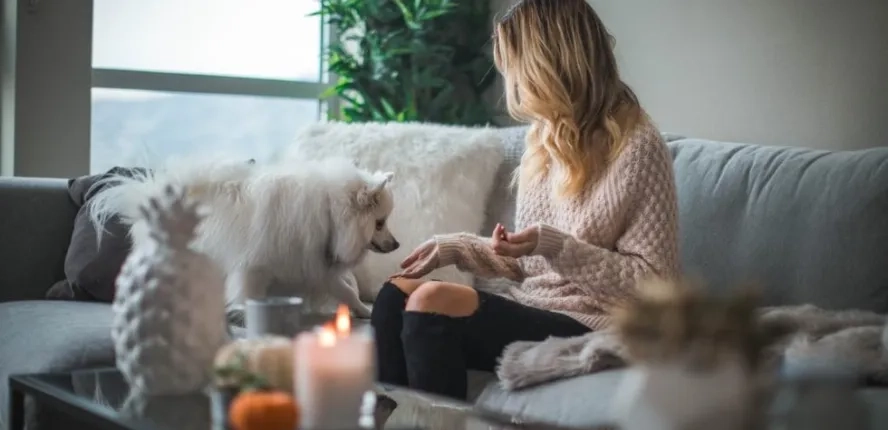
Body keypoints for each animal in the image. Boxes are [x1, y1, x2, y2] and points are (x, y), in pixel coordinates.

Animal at [87, 156, 398, 318]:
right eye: (380, 223)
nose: (397, 244)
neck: (328, 212)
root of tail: (150, 193)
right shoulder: (255, 267)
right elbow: (250, 294)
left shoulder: (314, 264)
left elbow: (346, 290)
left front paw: (364, 310)